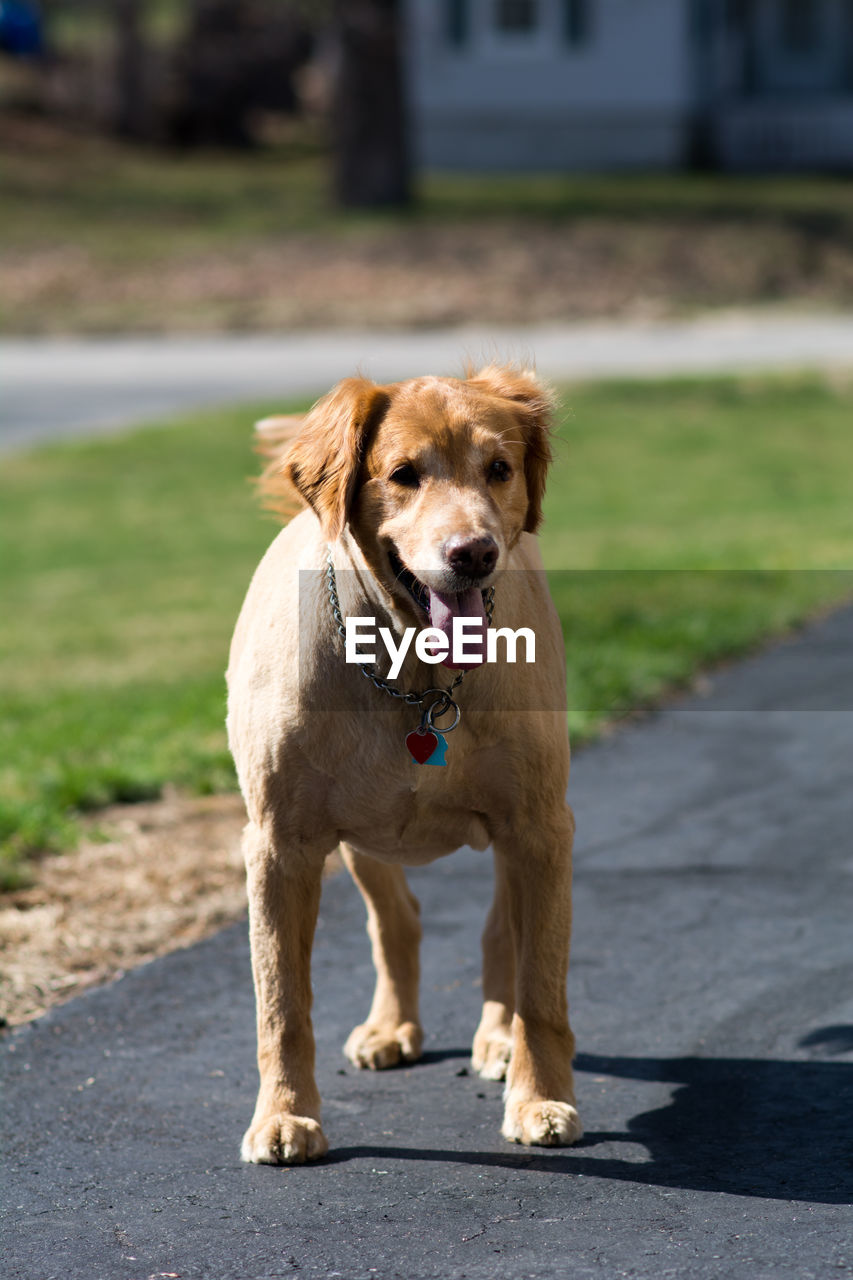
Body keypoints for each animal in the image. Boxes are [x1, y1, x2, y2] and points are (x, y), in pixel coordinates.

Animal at [225, 366, 581, 1167]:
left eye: (499, 468)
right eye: (403, 475)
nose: (473, 552)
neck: (414, 677)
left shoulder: (540, 825)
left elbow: (540, 985)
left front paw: (539, 1100)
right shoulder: (278, 844)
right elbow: (281, 1004)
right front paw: (284, 1116)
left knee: (500, 933)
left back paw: (496, 1039)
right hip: (360, 834)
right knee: (397, 921)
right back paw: (391, 1028)